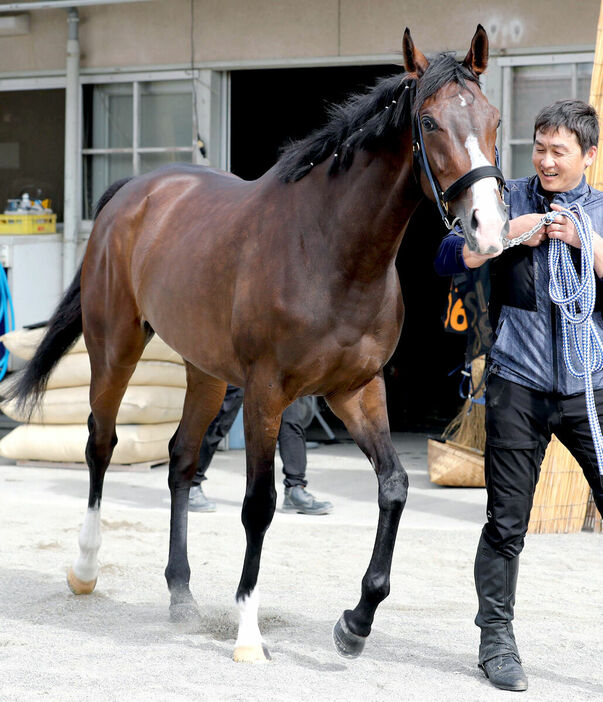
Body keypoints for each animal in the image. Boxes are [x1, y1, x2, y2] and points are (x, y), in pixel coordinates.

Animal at [10, 26, 510, 664]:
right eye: (429, 122)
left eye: (494, 119)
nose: (488, 228)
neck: (329, 250)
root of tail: (135, 191)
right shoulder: (267, 393)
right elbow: (259, 504)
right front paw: (249, 633)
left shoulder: (356, 390)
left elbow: (395, 487)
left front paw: (357, 621)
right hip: (116, 347)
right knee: (101, 445)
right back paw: (85, 569)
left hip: (204, 371)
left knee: (180, 460)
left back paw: (181, 594)